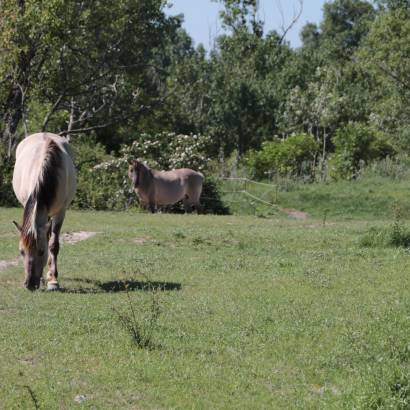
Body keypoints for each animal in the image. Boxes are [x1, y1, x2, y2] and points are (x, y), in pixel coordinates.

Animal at [12, 133, 76, 290]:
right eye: (21, 252)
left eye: (41, 252)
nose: (29, 284)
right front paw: (42, 278)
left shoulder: (60, 212)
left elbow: (53, 245)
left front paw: (53, 280)